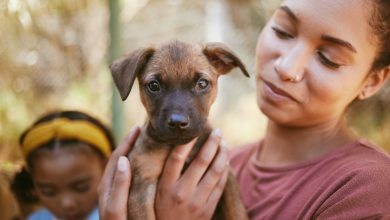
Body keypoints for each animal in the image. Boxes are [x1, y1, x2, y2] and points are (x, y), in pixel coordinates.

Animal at [111, 40, 248, 220]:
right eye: (154, 86)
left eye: (202, 83)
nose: (177, 122)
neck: (173, 146)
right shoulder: (141, 187)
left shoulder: (227, 175)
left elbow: (237, 211)